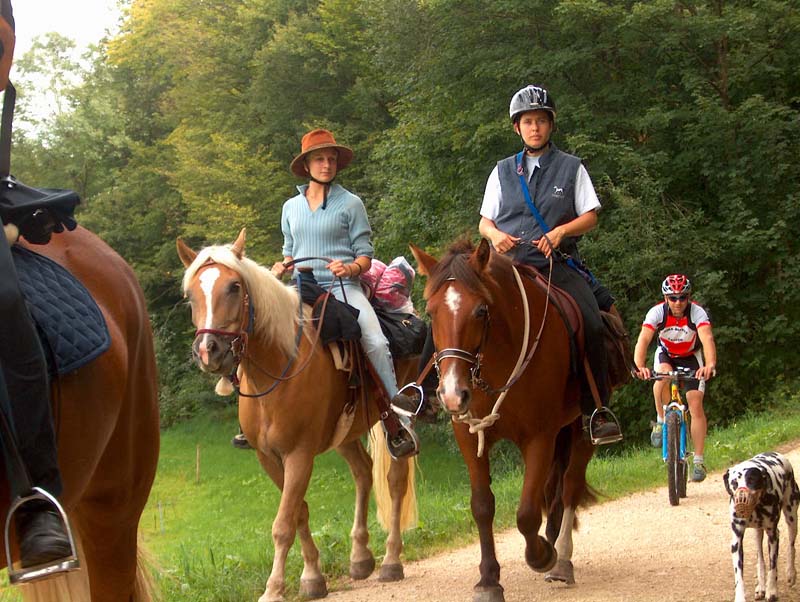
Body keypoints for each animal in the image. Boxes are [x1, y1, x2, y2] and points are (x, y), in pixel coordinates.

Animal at [177, 228, 418, 602]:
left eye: (234, 287)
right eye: (191, 295)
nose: (208, 351)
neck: (276, 372)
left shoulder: (299, 455)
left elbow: (283, 523)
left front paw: (274, 588)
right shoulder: (268, 458)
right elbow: (299, 513)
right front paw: (312, 577)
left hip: (394, 421)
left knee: (395, 480)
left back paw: (391, 560)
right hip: (344, 433)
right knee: (363, 473)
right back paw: (360, 557)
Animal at [411, 238, 595, 602]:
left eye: (481, 311)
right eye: (431, 312)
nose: (452, 394)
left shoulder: (539, 437)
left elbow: (526, 514)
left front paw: (541, 555)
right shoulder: (469, 435)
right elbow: (483, 506)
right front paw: (488, 580)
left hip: (582, 428)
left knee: (569, 486)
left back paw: (561, 560)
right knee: (555, 489)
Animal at [724, 452, 800, 602]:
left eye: (752, 479)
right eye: (734, 483)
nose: (742, 497)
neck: (756, 508)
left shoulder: (773, 536)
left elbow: (773, 567)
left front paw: (772, 591)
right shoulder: (736, 542)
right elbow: (739, 576)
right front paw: (740, 597)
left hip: (791, 517)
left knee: (791, 545)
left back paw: (791, 573)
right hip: (757, 533)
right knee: (760, 557)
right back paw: (760, 586)